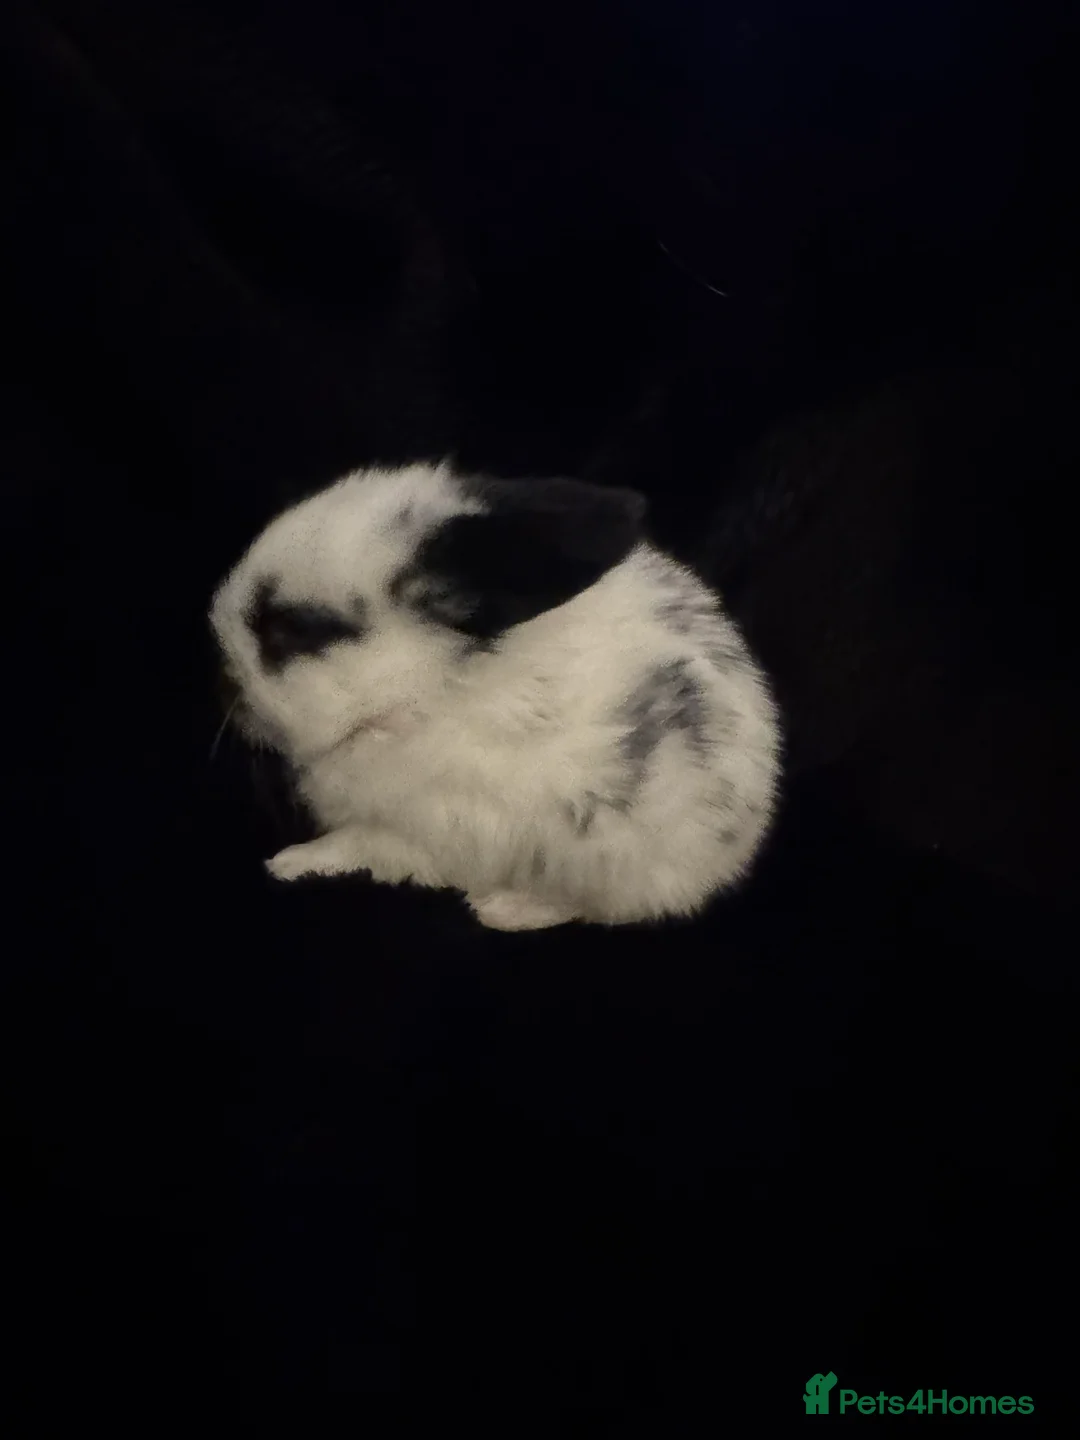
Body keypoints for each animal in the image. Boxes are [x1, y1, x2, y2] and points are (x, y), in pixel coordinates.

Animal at [209, 462, 782, 929]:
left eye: (291, 629)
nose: (224, 678)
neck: (414, 693)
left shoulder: (417, 831)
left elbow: (352, 846)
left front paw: (286, 863)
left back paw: (502, 910)